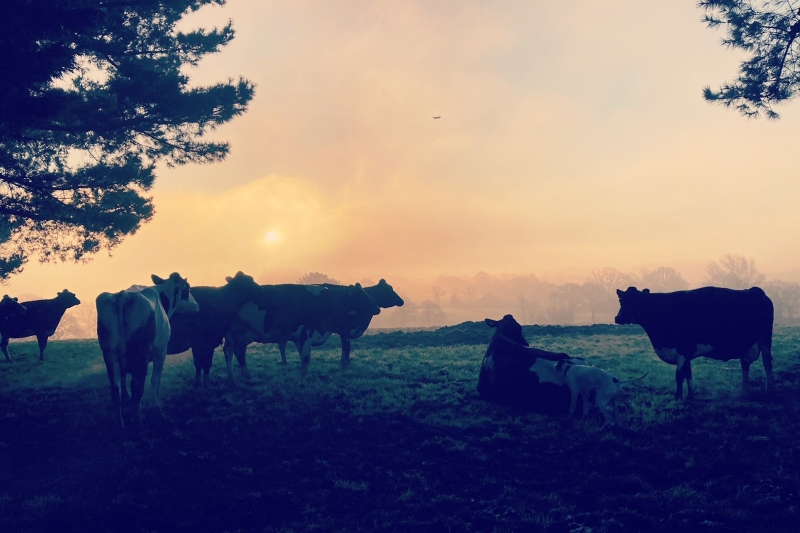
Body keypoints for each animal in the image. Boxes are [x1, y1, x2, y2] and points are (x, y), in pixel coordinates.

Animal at [95, 272, 198, 426]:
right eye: (188, 289)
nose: (197, 305)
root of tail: (122, 295)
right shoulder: (161, 352)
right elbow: (155, 382)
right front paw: (160, 411)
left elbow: (124, 382)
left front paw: (128, 402)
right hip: (140, 356)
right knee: (137, 386)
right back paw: (138, 420)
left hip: (110, 354)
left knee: (115, 389)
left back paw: (121, 423)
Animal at [220, 282, 380, 378]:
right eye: (362, 296)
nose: (377, 308)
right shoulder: (308, 332)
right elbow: (306, 357)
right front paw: (304, 376)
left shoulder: (299, 337)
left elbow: (303, 357)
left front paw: (303, 372)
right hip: (238, 332)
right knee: (235, 352)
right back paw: (240, 374)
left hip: (237, 335)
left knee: (232, 352)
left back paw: (234, 375)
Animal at [612, 284, 776, 396]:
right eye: (621, 300)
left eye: (630, 302)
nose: (617, 318)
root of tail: (755, 291)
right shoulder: (685, 352)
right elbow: (688, 373)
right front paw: (691, 395)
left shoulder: (683, 348)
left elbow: (679, 375)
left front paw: (678, 396)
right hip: (747, 345)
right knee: (745, 365)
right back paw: (744, 390)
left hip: (765, 339)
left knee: (767, 363)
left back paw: (769, 390)